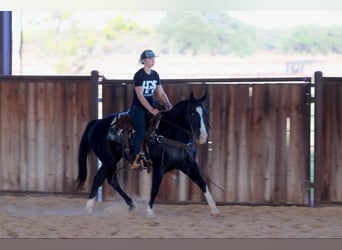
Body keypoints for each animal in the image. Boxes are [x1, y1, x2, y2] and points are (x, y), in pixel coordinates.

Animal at [75, 93, 219, 218]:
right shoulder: (159, 167)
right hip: (109, 160)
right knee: (108, 179)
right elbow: (155, 188)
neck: (173, 134)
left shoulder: (189, 165)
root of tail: (96, 122)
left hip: (109, 161)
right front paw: (149, 212)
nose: (203, 137)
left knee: (103, 179)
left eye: (205, 113)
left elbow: (203, 183)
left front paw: (214, 210)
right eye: (193, 113)